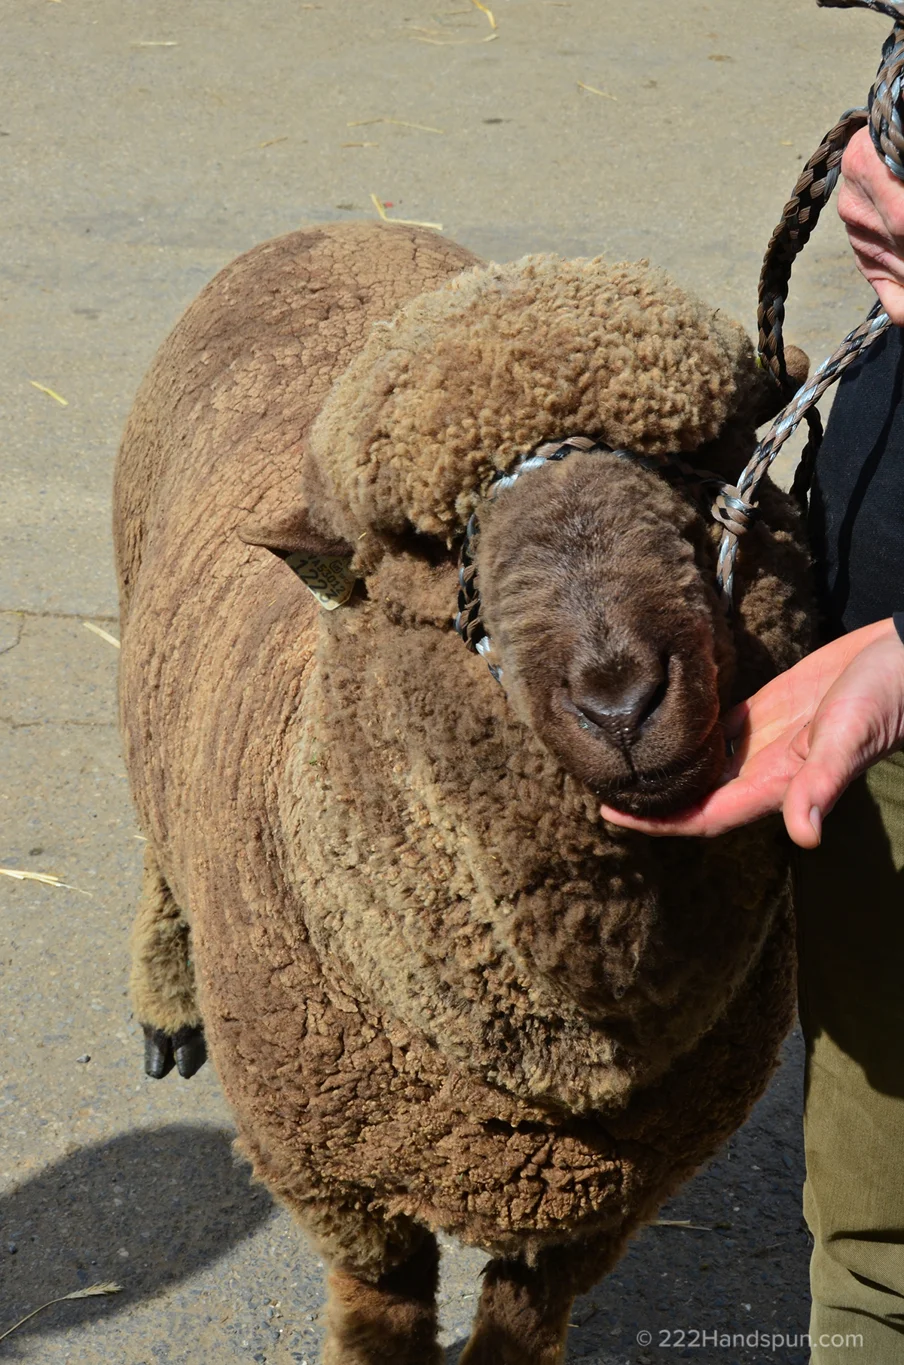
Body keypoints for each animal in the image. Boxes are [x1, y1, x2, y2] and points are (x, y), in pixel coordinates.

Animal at [114, 221, 814, 1365]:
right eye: (437, 549)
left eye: (698, 470)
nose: (622, 702)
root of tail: (339, 223)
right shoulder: (334, 1177)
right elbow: (384, 1307)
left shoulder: (600, 1203)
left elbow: (521, 1323)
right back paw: (168, 1008)